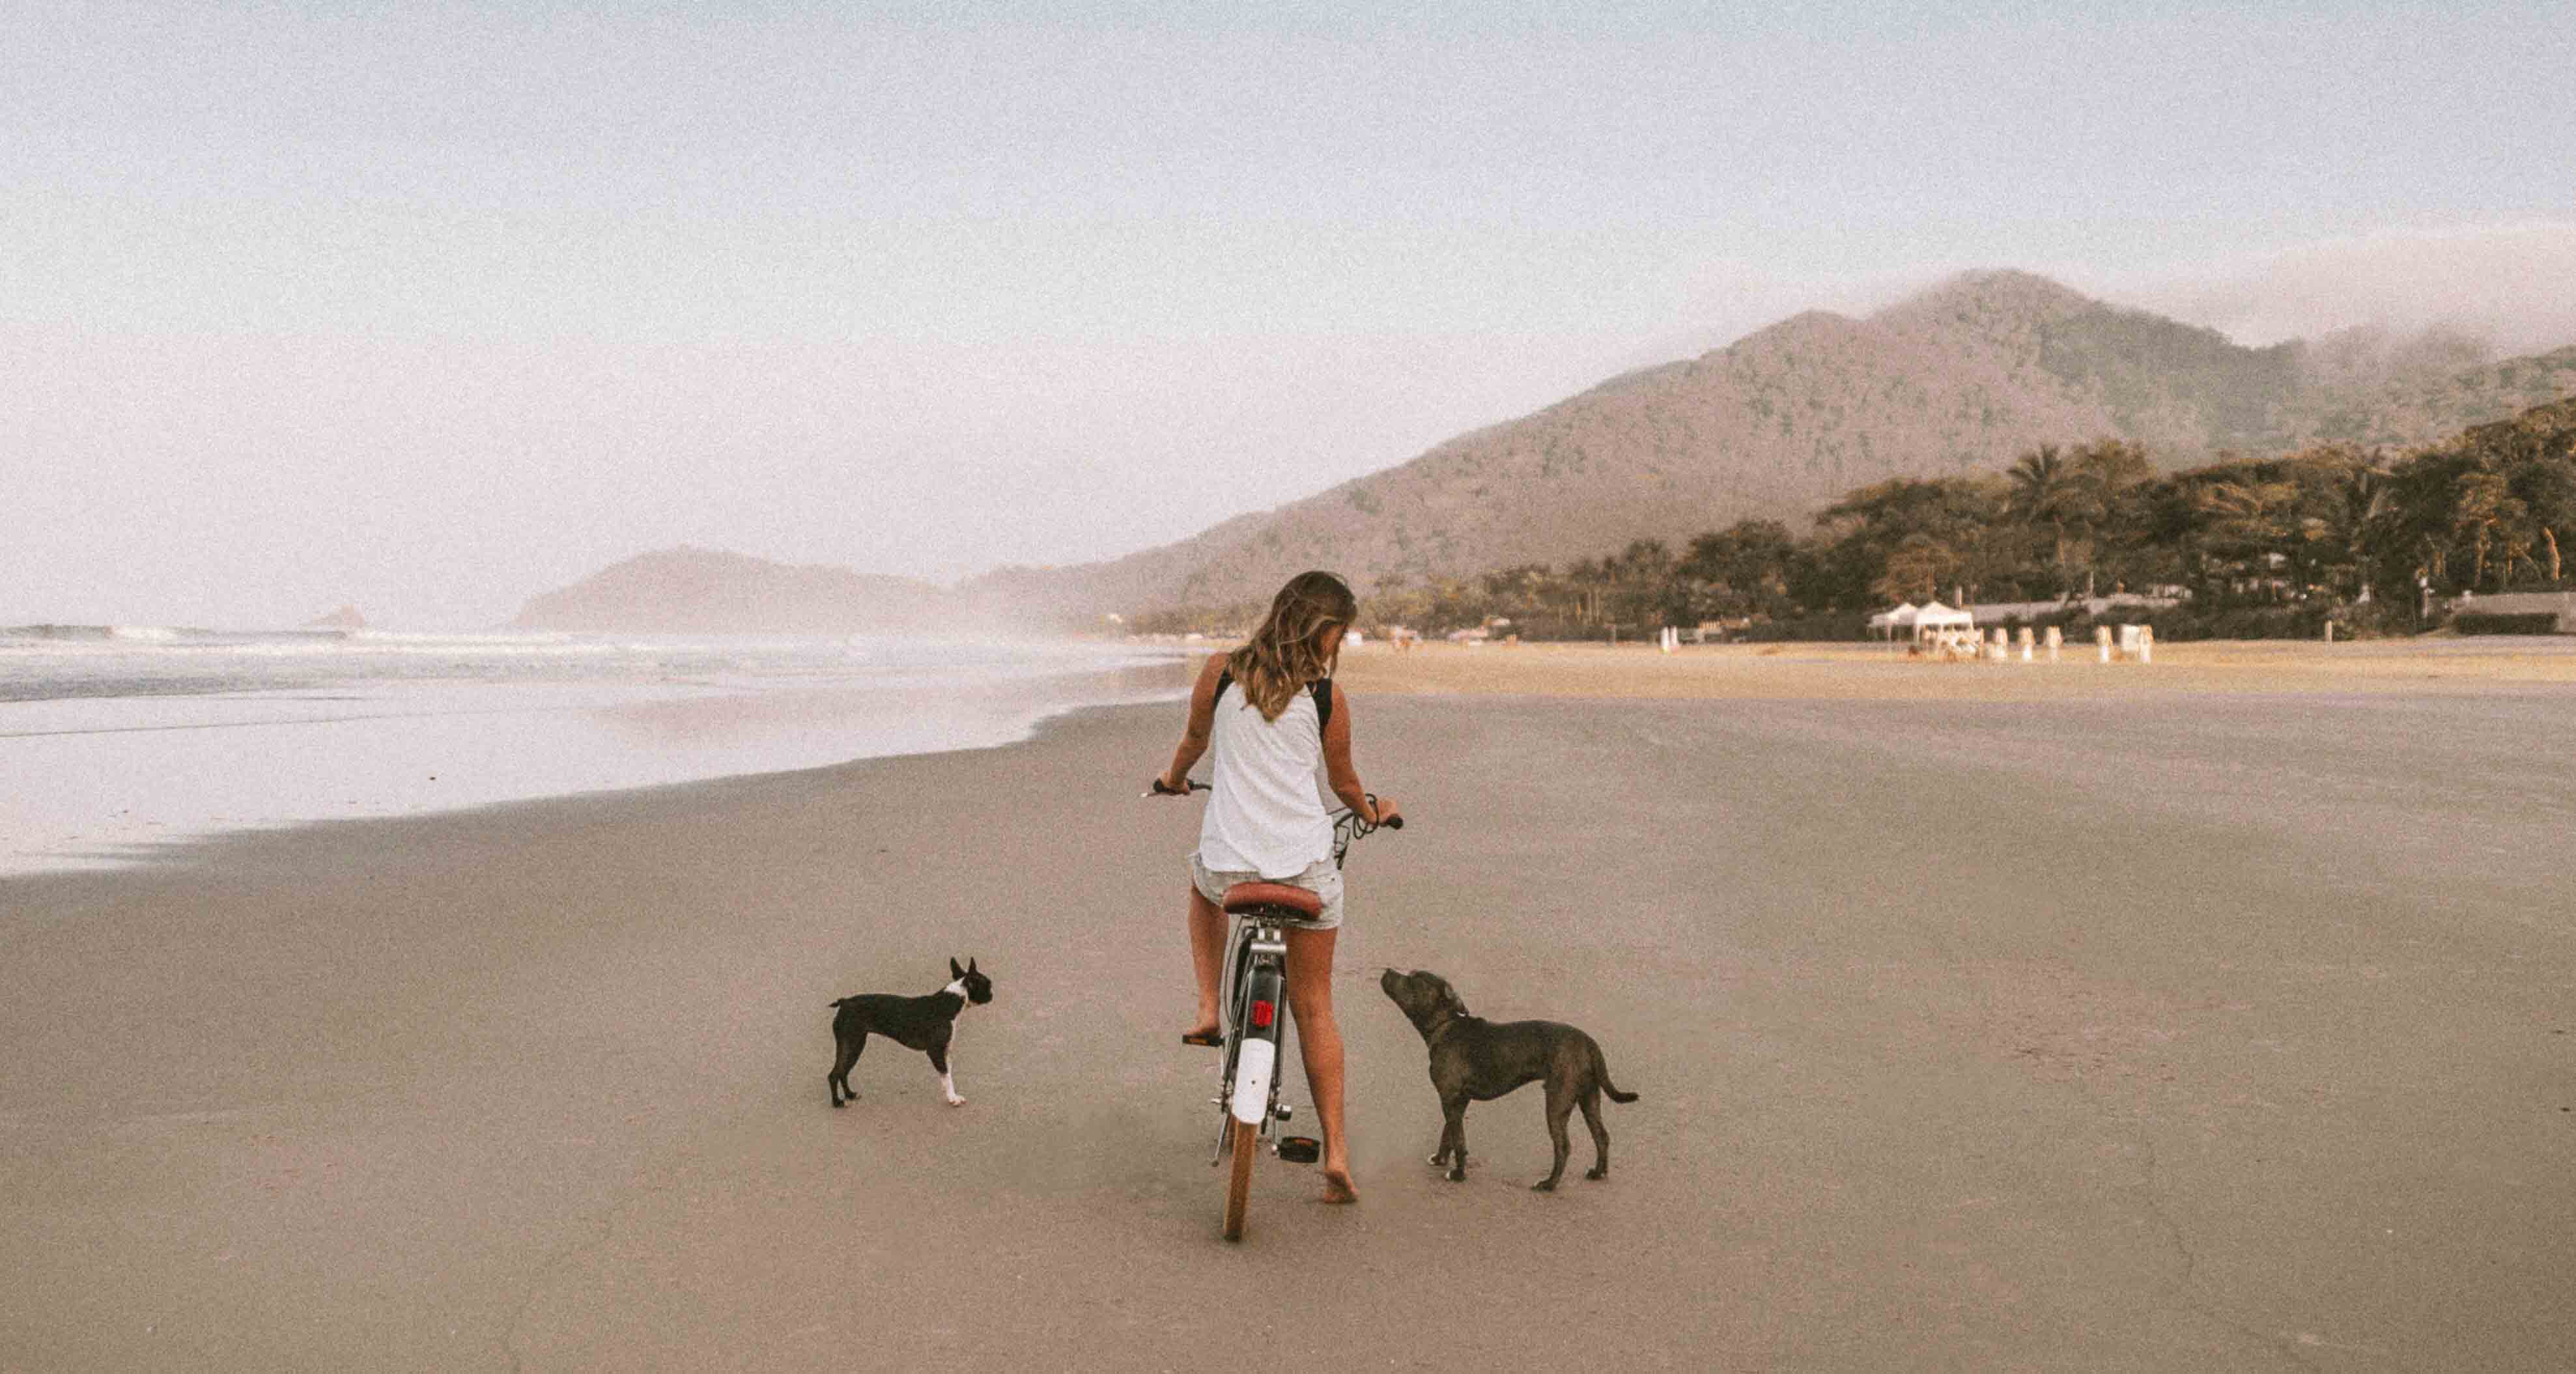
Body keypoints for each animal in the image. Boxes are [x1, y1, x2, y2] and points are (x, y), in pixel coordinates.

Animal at [829, 962, 989, 1116]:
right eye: (987, 985)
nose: (992, 994)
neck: (950, 1001)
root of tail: (845, 1002)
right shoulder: (935, 1051)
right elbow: (947, 1077)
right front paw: (953, 1099)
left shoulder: (945, 1051)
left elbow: (948, 1075)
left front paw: (952, 1096)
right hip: (852, 1043)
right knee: (835, 1074)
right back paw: (837, 1102)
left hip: (856, 1045)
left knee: (843, 1071)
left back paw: (850, 1095)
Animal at [1380, 972, 1638, 1188]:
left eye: (1414, 981)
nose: (1388, 971)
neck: (1446, 1025)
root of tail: (1588, 1042)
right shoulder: (1457, 1101)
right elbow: (1449, 1134)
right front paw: (1441, 1159)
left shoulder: (1450, 1098)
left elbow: (1459, 1140)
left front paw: (1459, 1174)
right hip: (1589, 1098)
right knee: (1601, 1136)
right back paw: (1597, 1172)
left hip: (1557, 1103)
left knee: (1564, 1147)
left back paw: (1549, 1184)